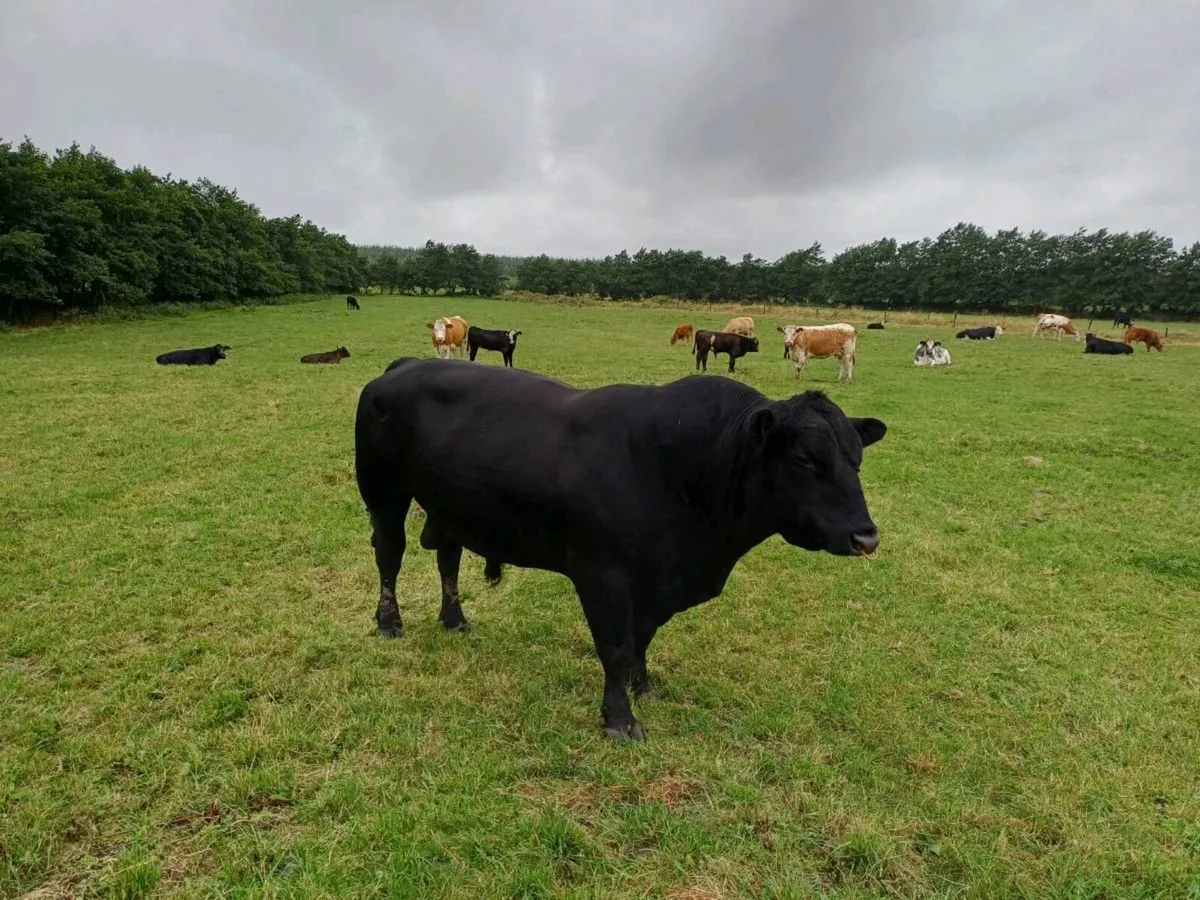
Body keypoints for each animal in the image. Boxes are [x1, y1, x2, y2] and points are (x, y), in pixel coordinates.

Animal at [354, 358, 887, 741]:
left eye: (856, 458)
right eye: (803, 459)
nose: (865, 537)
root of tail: (404, 366)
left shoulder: (656, 582)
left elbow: (642, 640)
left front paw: (642, 686)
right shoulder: (602, 575)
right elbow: (614, 647)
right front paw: (619, 719)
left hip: (450, 507)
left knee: (448, 556)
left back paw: (455, 619)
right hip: (383, 494)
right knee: (390, 555)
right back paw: (389, 622)